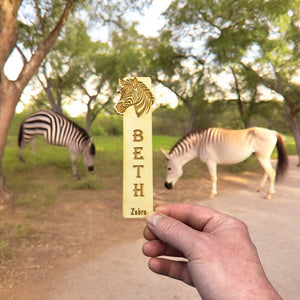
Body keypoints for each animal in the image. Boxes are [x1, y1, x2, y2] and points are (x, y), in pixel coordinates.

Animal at [161, 126, 290, 199]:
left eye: (169, 168)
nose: (166, 186)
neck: (199, 144)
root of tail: (272, 132)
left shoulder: (211, 161)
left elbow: (213, 178)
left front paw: (212, 194)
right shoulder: (212, 162)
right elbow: (214, 177)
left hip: (263, 156)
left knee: (272, 172)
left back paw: (269, 194)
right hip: (262, 156)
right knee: (267, 172)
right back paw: (259, 188)